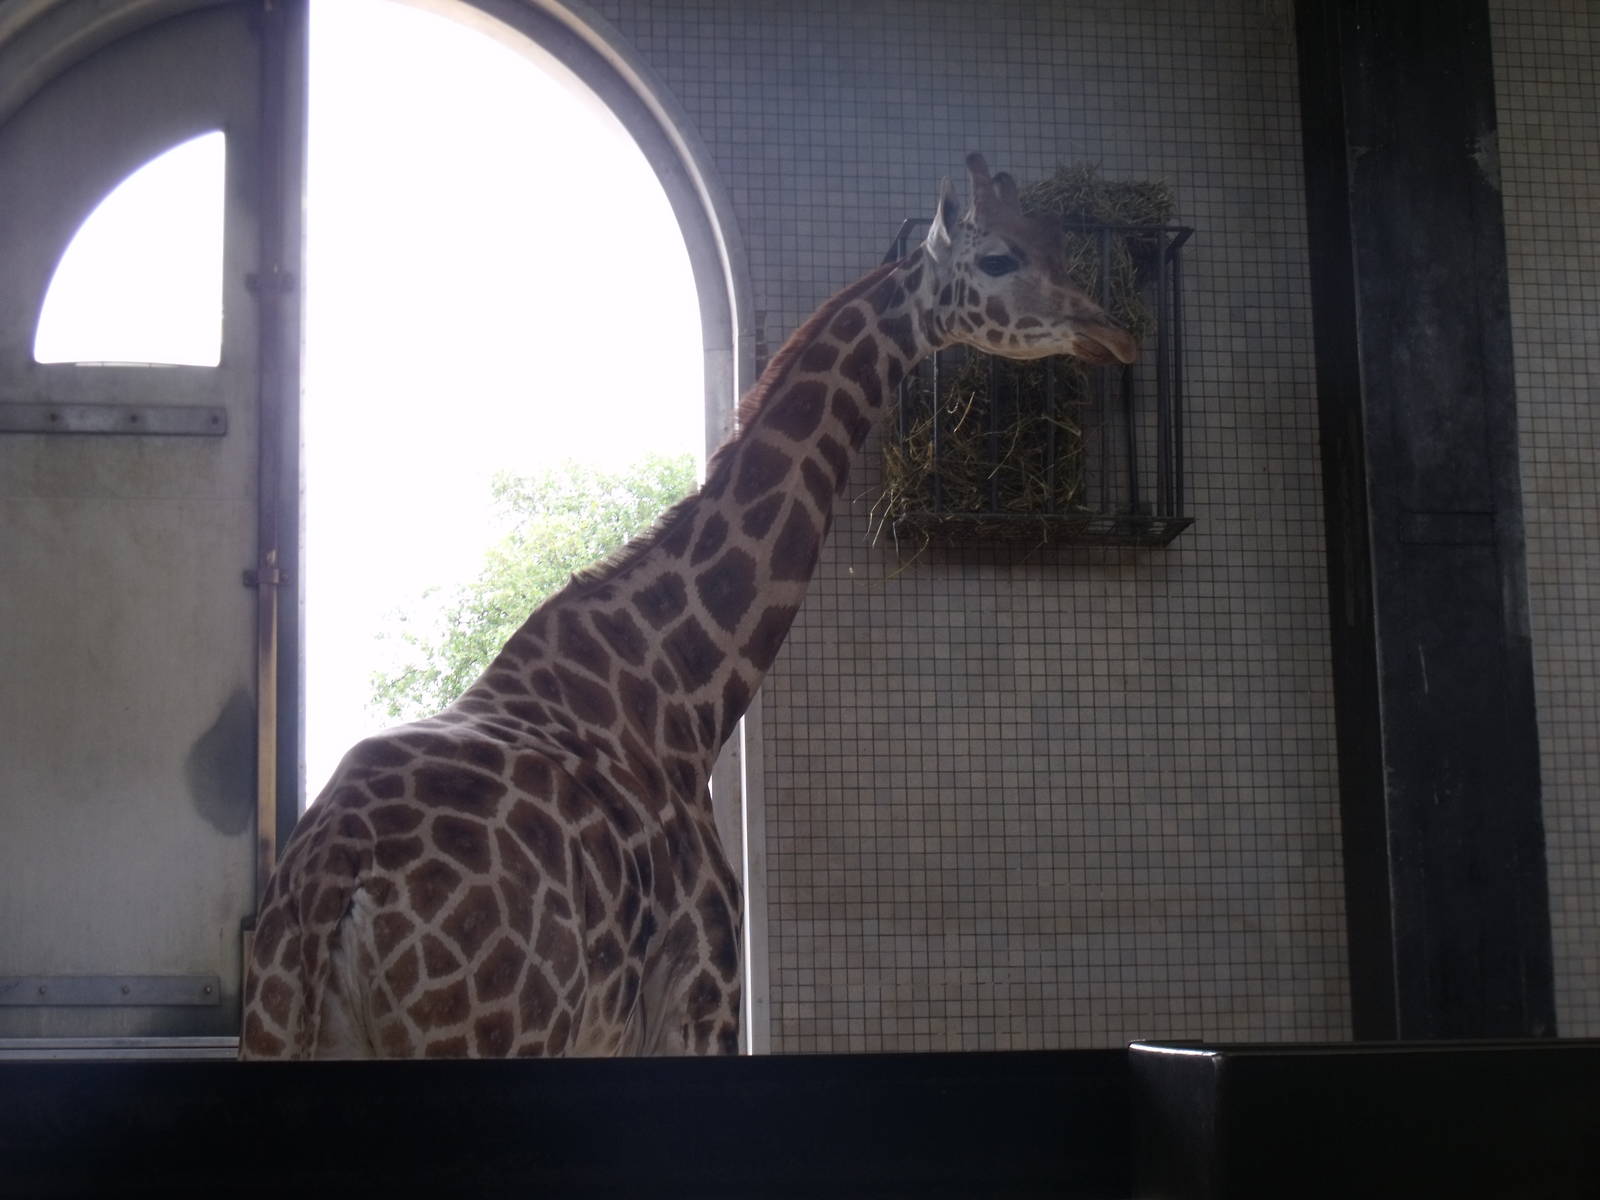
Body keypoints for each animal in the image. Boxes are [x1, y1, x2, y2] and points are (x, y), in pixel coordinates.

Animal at [240, 154, 1136, 1059]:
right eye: (999, 258)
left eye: (1056, 242)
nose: (1115, 333)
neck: (681, 694)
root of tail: (332, 877)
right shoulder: (700, 1000)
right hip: (493, 1035)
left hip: (279, 1030)